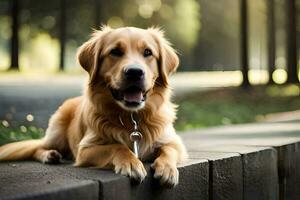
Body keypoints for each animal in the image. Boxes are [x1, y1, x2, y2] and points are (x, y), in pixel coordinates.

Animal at [0, 25, 188, 187]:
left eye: (148, 52)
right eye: (115, 52)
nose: (134, 72)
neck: (132, 117)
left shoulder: (174, 141)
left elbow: (169, 149)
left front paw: (167, 169)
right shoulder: (84, 150)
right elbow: (117, 146)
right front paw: (131, 163)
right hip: (57, 131)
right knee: (39, 147)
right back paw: (49, 155)